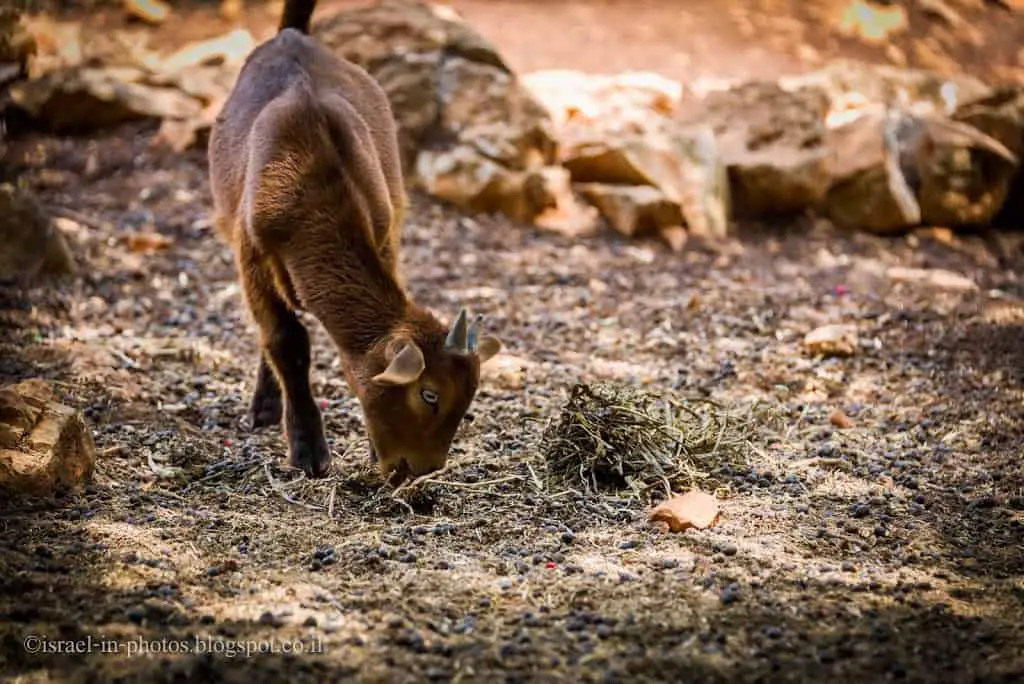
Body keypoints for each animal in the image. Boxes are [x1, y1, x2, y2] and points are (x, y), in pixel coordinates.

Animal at [205, 0, 501, 481]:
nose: (420, 468)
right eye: (429, 394)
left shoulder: (384, 231)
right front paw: (307, 448)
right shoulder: (251, 252)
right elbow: (286, 339)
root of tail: (291, 34)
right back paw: (266, 405)